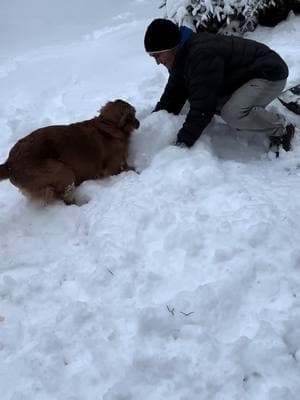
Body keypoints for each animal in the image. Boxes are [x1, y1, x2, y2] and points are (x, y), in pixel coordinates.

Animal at [0, 99, 139, 205]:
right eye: (133, 114)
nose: (138, 122)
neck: (108, 125)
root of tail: (9, 164)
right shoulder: (113, 168)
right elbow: (129, 169)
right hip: (62, 171)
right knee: (67, 200)